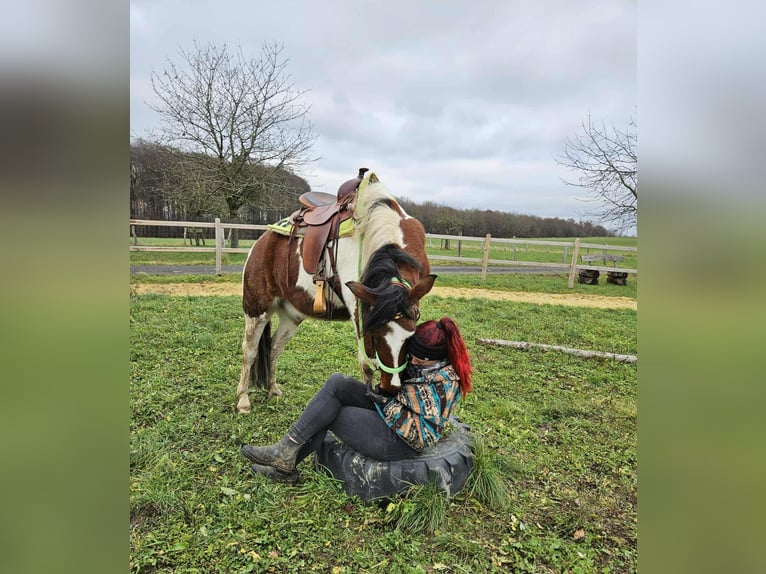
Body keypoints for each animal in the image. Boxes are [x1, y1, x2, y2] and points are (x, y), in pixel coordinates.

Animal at [235, 170, 435, 413]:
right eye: (375, 336)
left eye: (410, 336)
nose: (391, 388)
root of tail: (262, 242)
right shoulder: (360, 313)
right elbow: (365, 366)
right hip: (257, 310)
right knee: (249, 351)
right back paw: (243, 400)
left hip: (291, 315)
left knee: (273, 347)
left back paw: (273, 390)